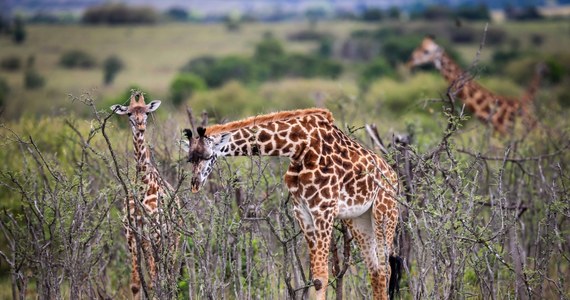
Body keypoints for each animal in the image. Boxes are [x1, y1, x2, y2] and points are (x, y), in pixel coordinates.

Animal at [111, 92, 180, 300]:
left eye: (147, 113)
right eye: (129, 114)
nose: (141, 127)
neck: (143, 183)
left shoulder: (153, 231)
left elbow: (154, 280)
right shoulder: (132, 233)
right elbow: (135, 283)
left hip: (172, 238)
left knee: (169, 273)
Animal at [182, 109, 400, 298]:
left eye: (208, 156)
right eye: (189, 159)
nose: (195, 184)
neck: (298, 147)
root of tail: (393, 175)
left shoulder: (324, 210)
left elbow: (322, 276)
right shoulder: (302, 212)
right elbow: (316, 279)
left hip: (384, 213)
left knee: (386, 268)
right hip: (359, 220)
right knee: (375, 270)